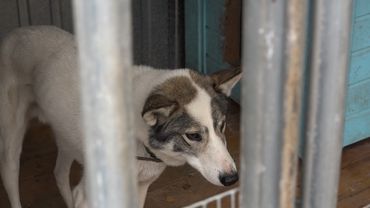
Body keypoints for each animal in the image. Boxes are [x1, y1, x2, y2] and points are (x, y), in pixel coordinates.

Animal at [0, 26, 241, 208]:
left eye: (222, 126)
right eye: (193, 136)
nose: (232, 179)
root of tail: (14, 33)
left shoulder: (140, 187)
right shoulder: (89, 194)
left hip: (66, 138)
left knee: (59, 173)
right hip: (13, 139)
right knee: (10, 173)